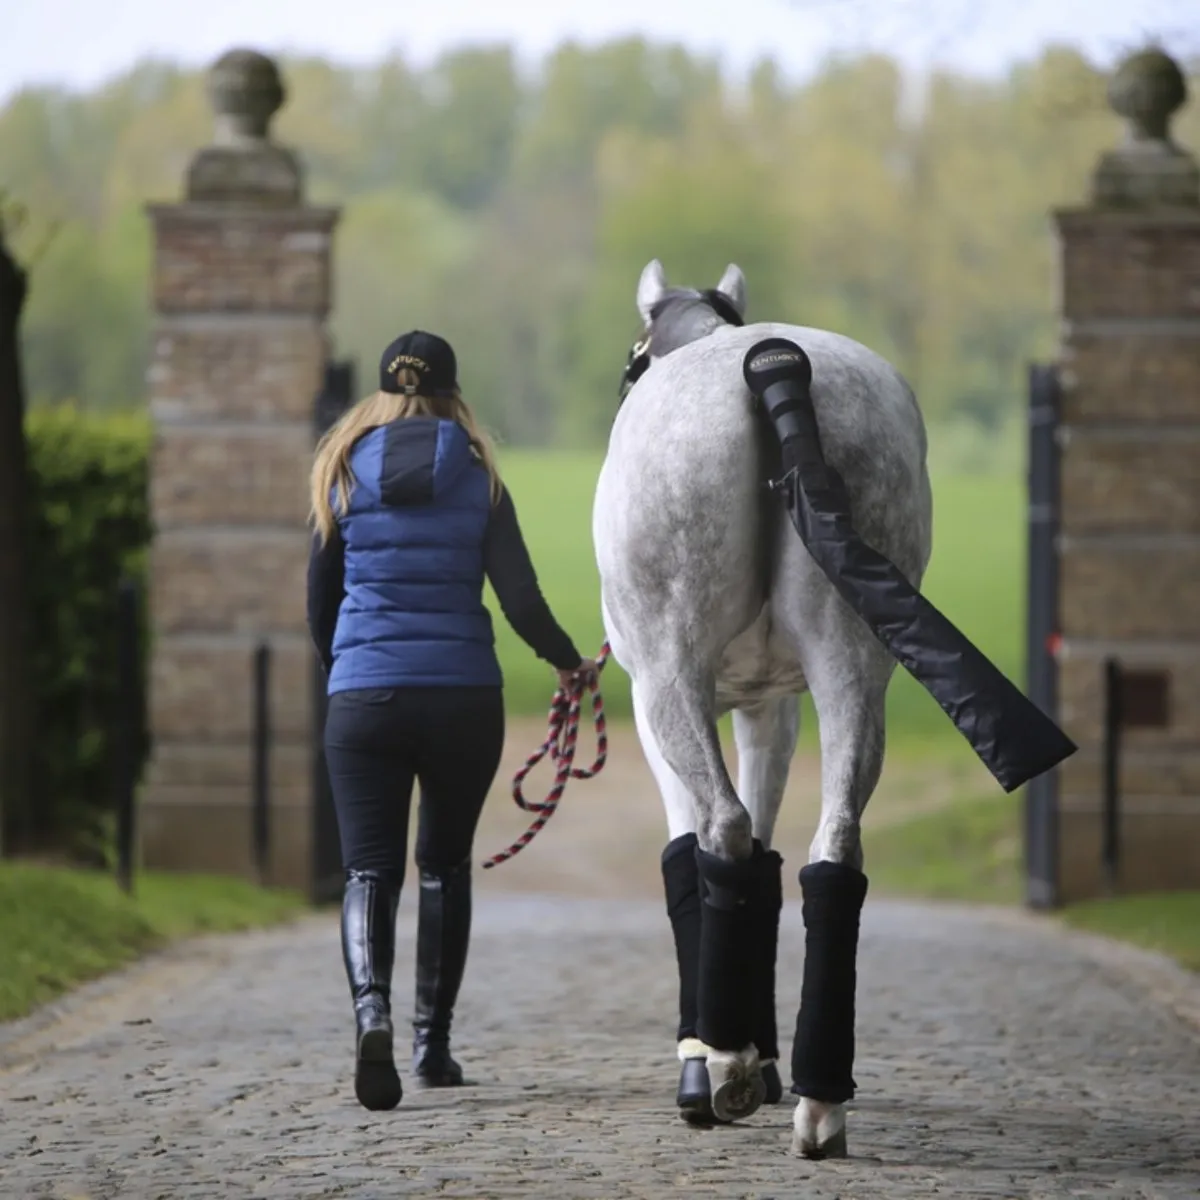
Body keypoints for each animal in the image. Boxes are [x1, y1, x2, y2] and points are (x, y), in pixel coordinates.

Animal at [588, 258, 926, 1156]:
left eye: (631, 359)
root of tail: (776, 369)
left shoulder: (662, 701)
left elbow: (693, 854)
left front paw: (709, 1058)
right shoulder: (771, 708)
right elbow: (770, 866)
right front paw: (768, 1060)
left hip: (670, 678)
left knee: (723, 831)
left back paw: (729, 1065)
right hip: (852, 666)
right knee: (832, 848)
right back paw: (819, 1102)